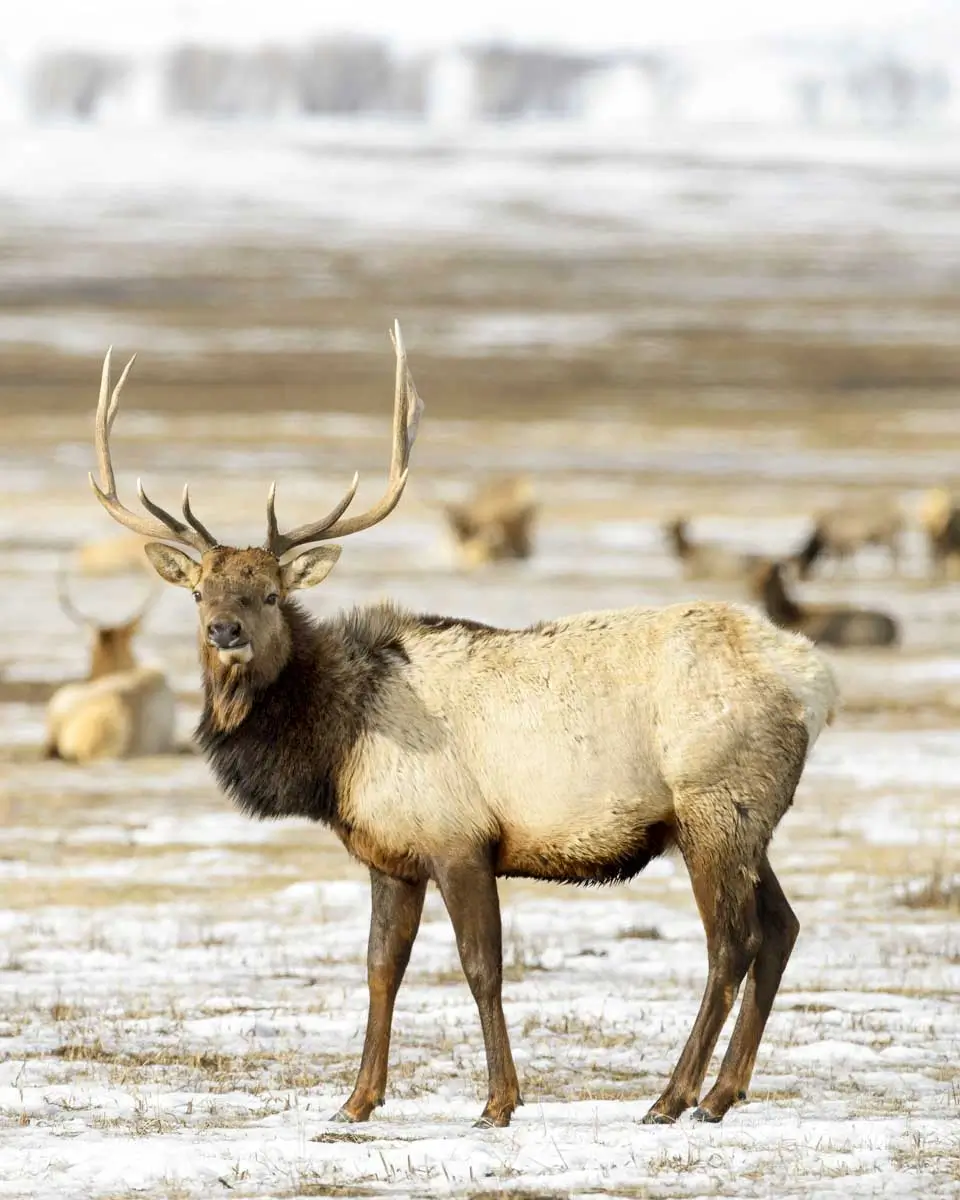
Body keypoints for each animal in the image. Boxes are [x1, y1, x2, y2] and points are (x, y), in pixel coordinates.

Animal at [87, 324, 839, 1128]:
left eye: (269, 593)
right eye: (199, 591)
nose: (224, 632)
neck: (337, 747)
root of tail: (817, 682)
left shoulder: (461, 839)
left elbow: (482, 968)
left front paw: (499, 1101)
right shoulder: (390, 851)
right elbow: (381, 968)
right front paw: (356, 1100)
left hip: (714, 806)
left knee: (733, 943)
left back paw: (672, 1097)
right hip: (745, 819)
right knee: (783, 928)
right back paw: (722, 1093)